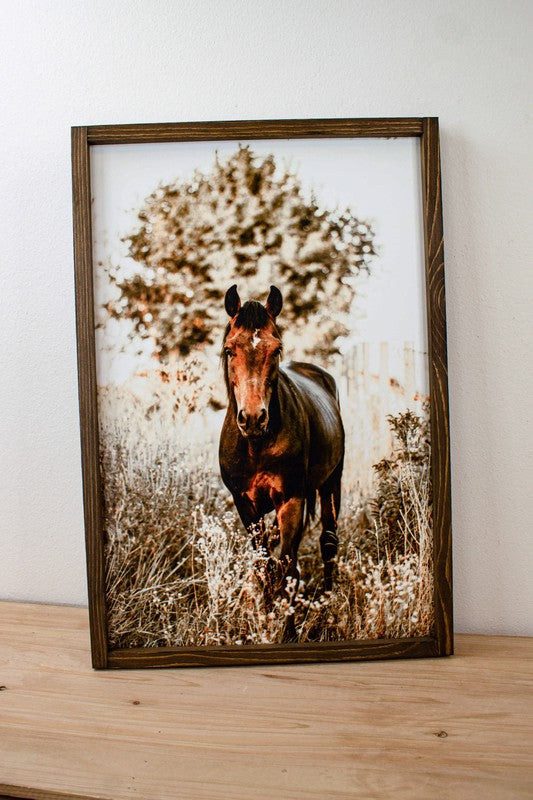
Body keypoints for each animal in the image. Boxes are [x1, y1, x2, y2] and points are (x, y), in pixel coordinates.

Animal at [217, 282, 344, 612]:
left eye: (276, 349)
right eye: (229, 349)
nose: (252, 418)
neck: (256, 445)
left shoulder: (291, 500)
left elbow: (289, 569)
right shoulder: (245, 505)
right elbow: (263, 565)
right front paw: (264, 614)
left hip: (331, 484)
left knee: (328, 542)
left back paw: (328, 604)